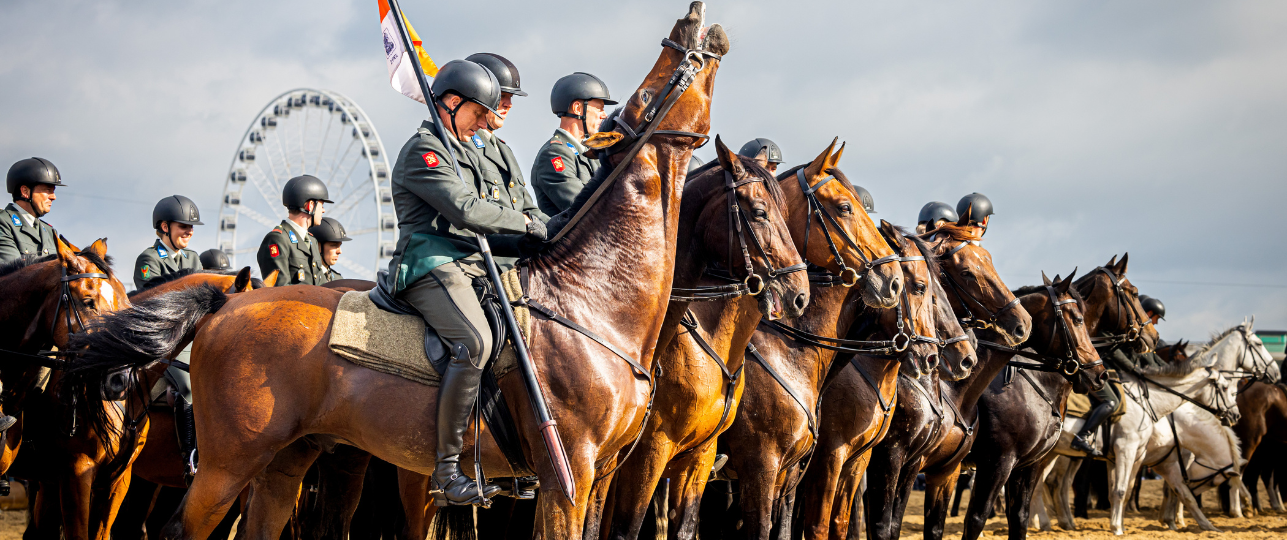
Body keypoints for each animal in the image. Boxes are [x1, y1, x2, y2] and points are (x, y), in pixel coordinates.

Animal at [67, 5, 736, 540]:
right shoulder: (565, 477)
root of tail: (229, 303)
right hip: (228, 464)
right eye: (666, 67)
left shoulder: (600, 479)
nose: (698, 17)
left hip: (287, 462)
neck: (594, 299)